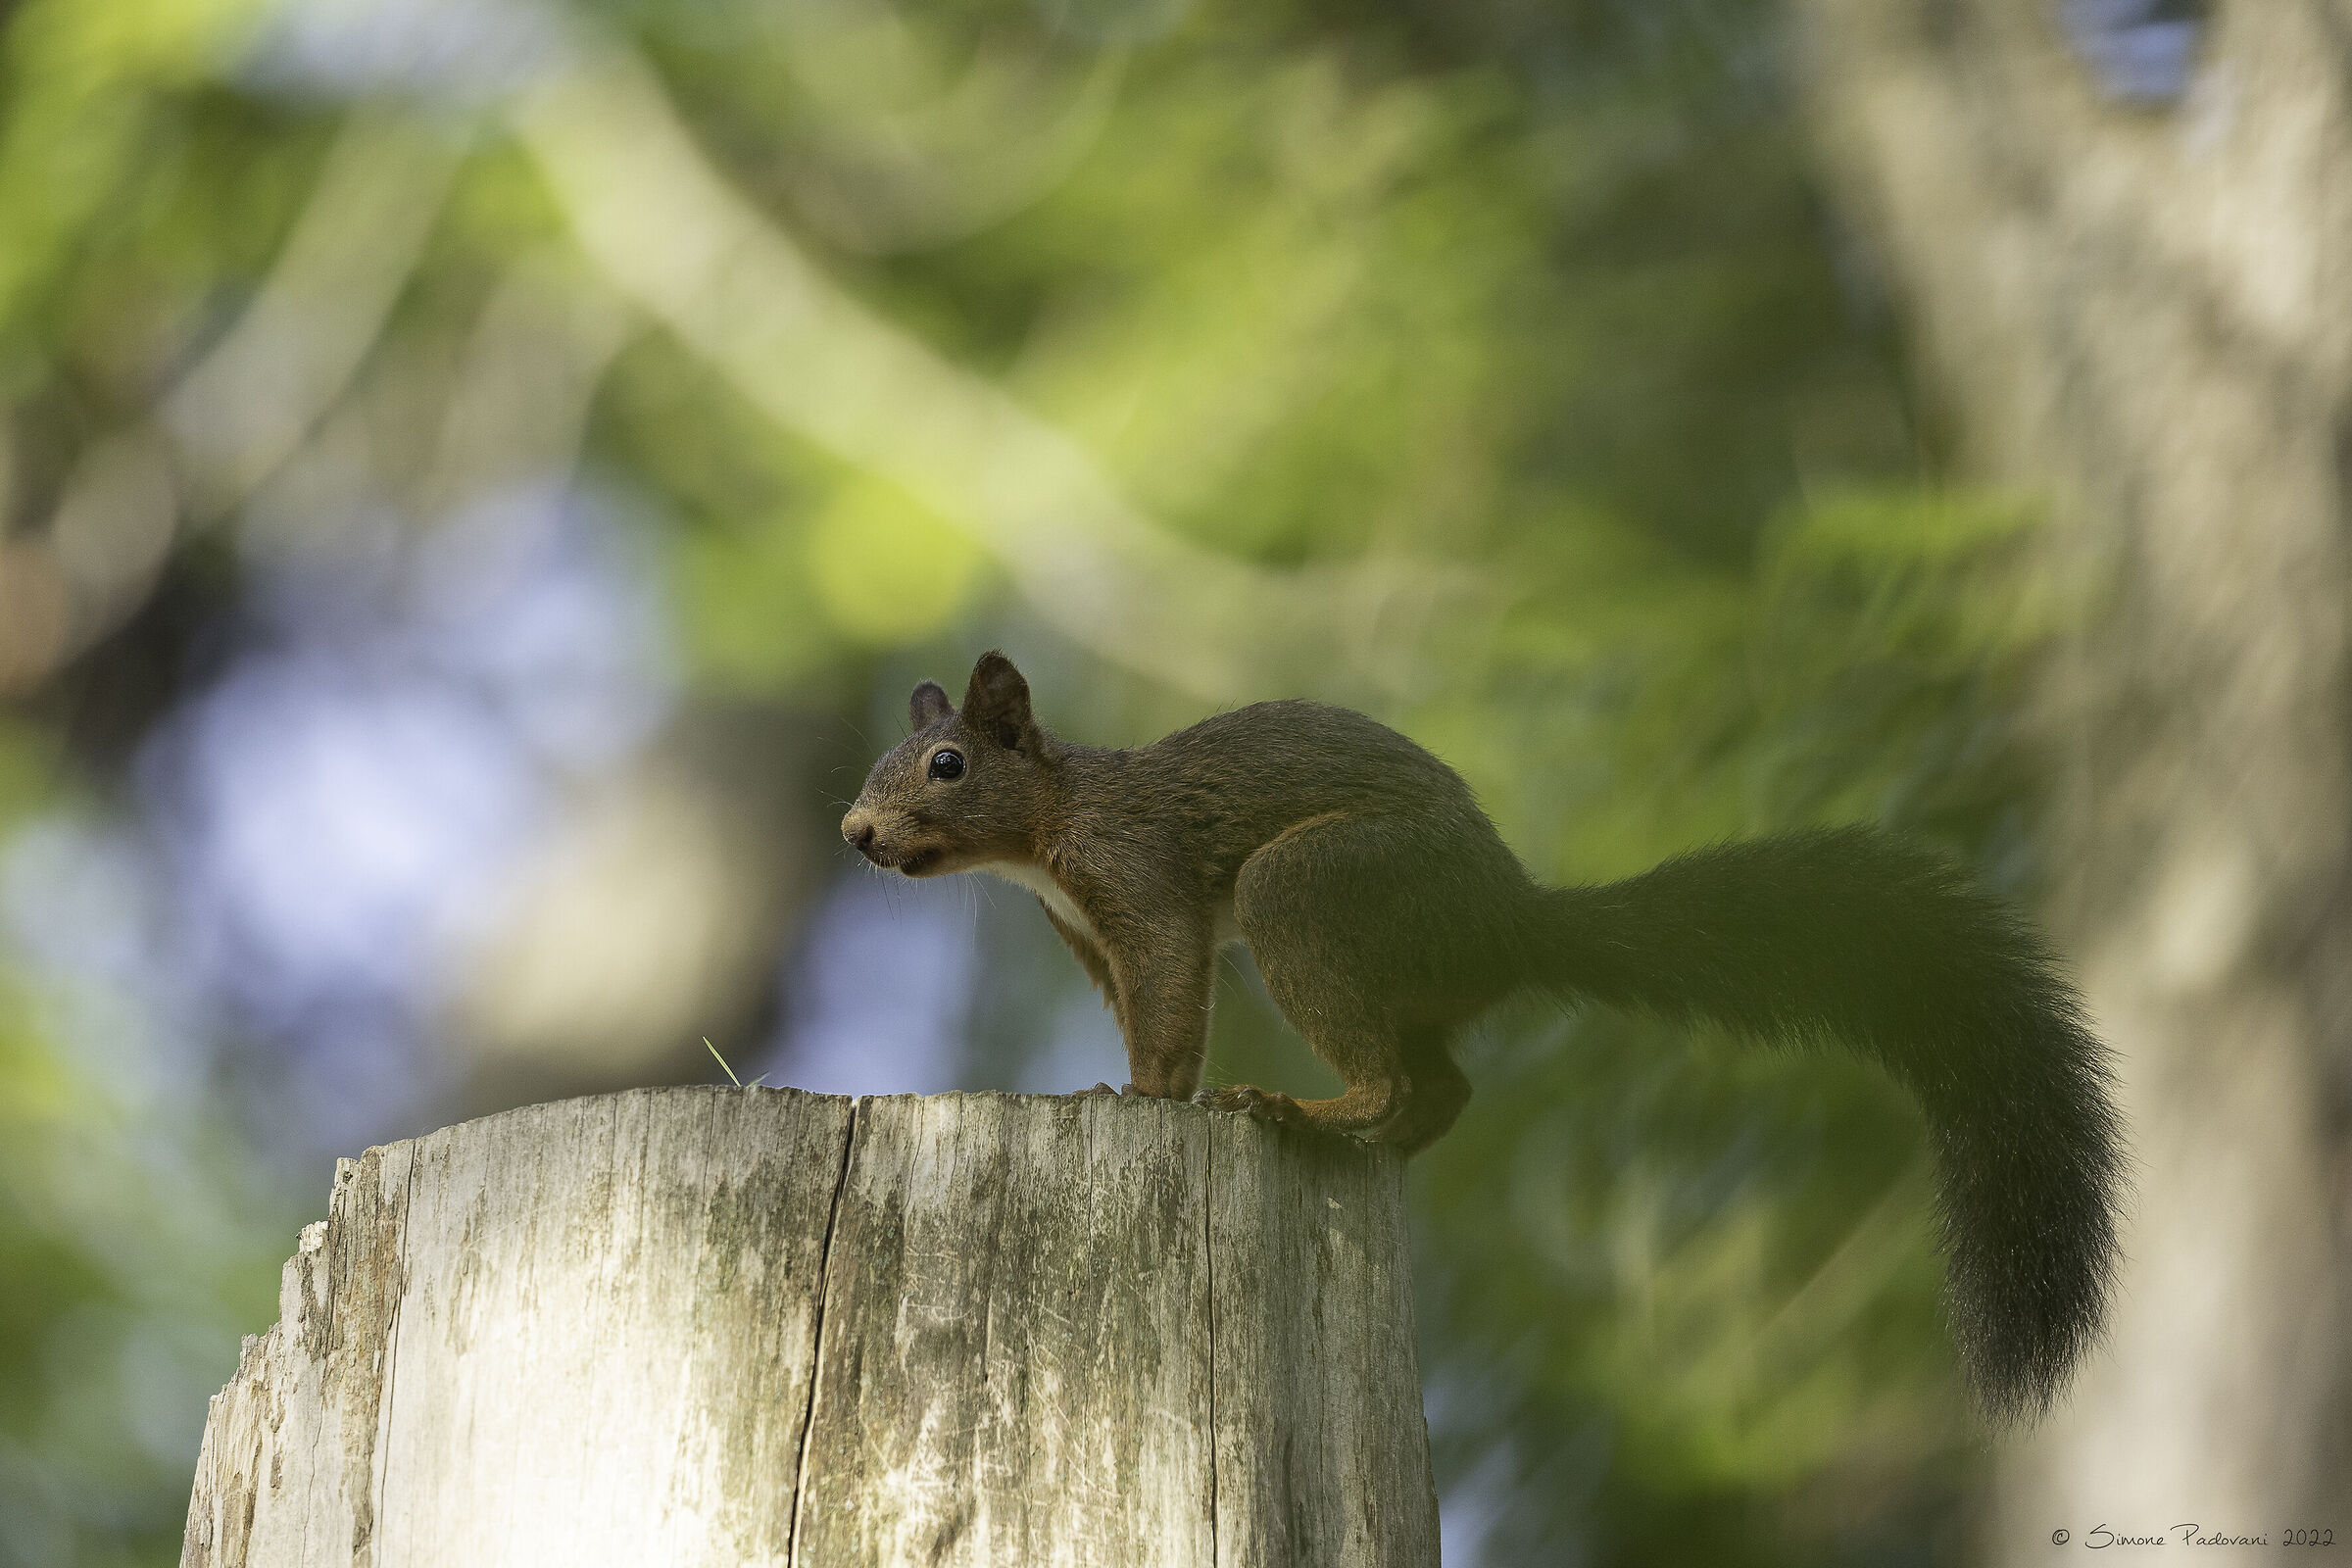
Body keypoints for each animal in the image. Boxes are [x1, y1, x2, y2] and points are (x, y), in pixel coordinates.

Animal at [841, 650, 2124, 1424]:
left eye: (948, 764)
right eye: (882, 761)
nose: (854, 831)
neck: (1047, 830)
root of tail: (1511, 919)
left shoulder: (1144, 889)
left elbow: (1169, 1005)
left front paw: (1140, 1099)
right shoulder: (1086, 939)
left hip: (1308, 891)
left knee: (1386, 1067)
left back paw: (1303, 1108)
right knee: (1443, 1085)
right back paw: (1379, 1141)